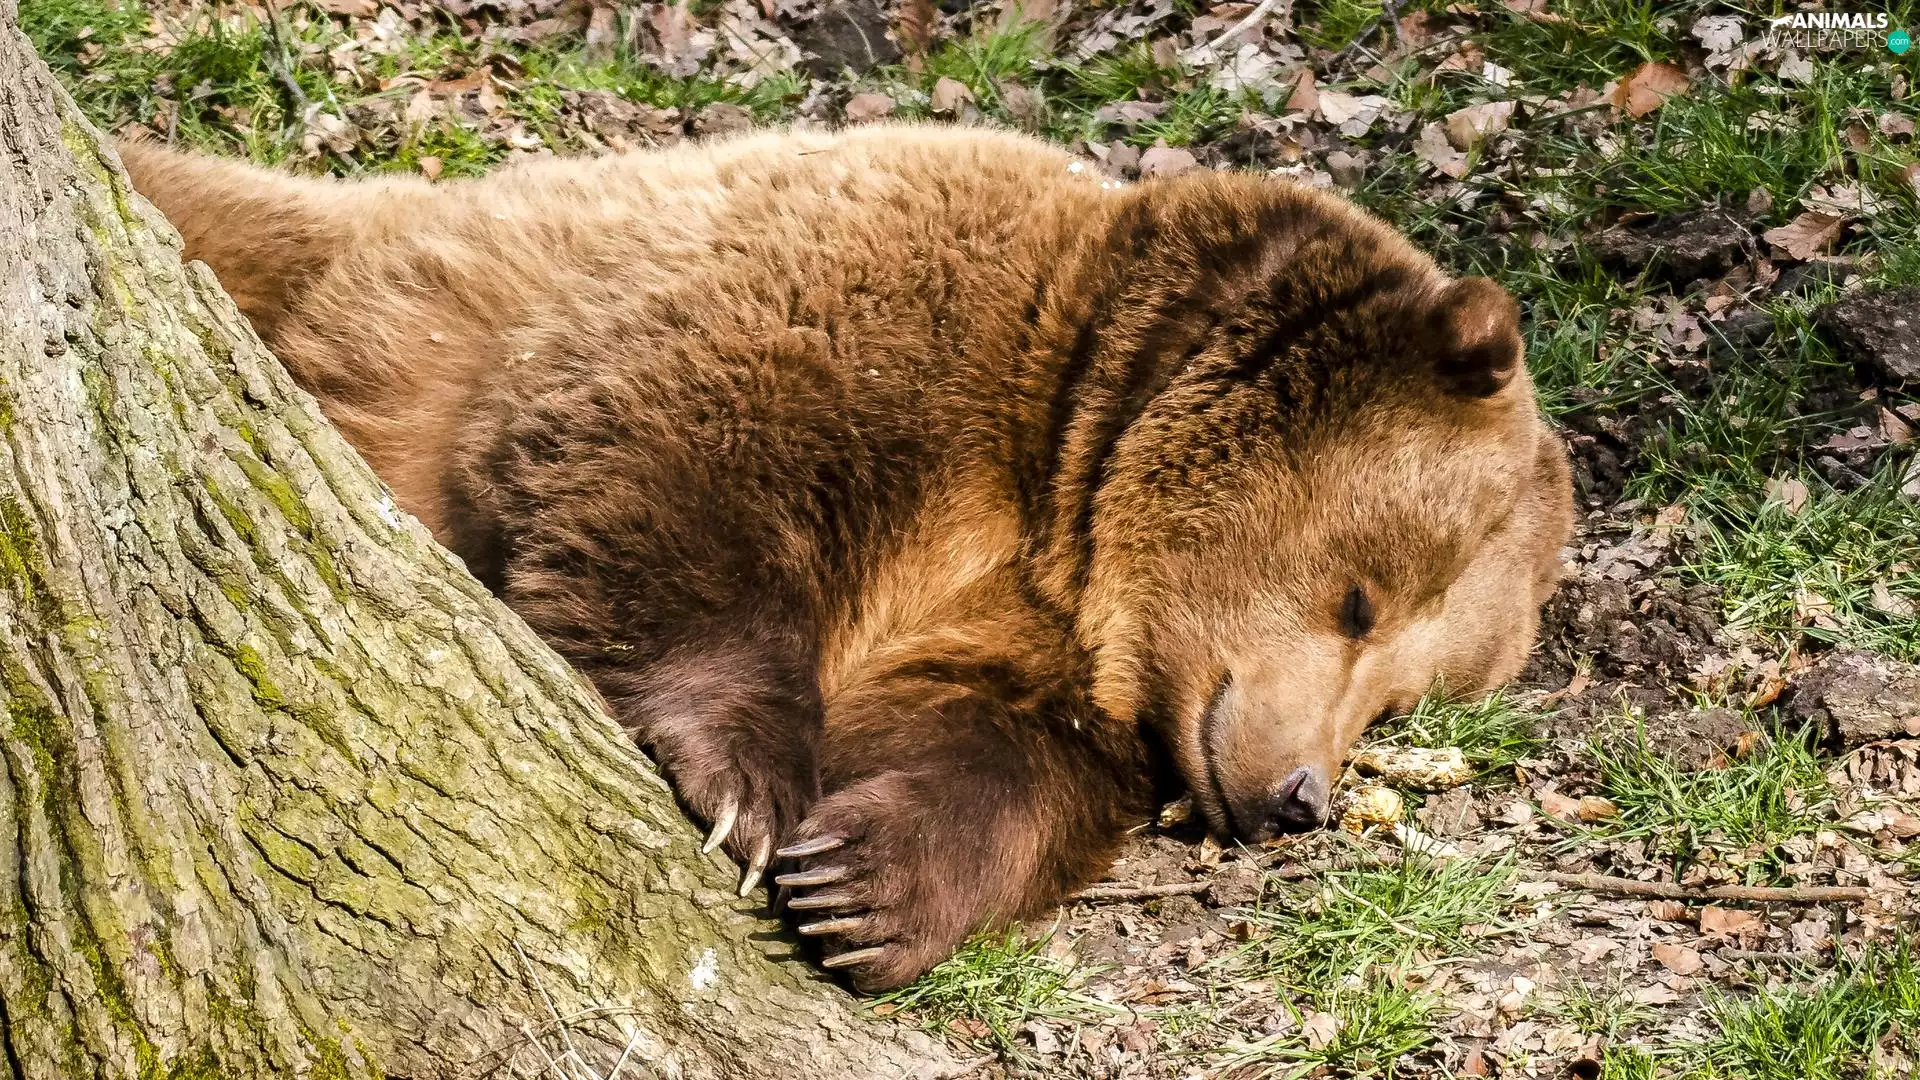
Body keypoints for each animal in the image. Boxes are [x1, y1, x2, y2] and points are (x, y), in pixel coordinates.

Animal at [119, 124, 1574, 991]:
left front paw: (860, 889)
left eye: (1407, 693)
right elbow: (680, 475)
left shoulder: (1031, 636)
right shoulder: (872, 322)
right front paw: (744, 787)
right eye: (1361, 597)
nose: (1295, 795)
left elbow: (991, 753)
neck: (1067, 473)